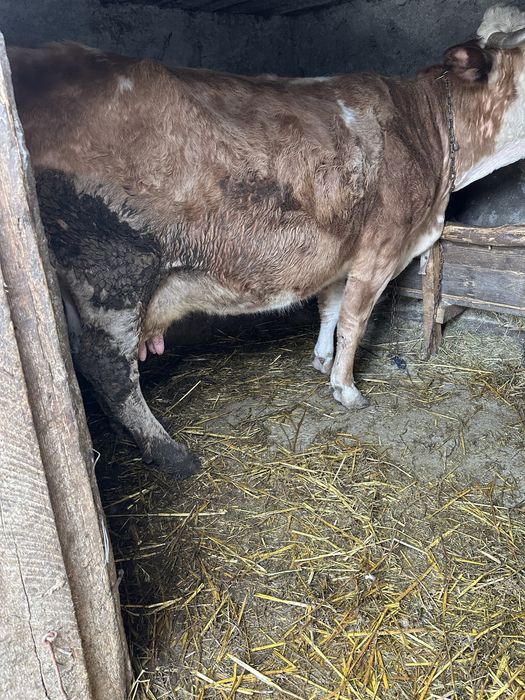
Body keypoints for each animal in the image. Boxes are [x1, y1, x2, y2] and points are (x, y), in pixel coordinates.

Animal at [7, 5, 525, 478]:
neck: (428, 133)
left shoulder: (340, 248)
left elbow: (329, 309)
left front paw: (321, 360)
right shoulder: (381, 247)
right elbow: (354, 321)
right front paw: (346, 387)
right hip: (112, 263)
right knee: (108, 367)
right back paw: (171, 454)